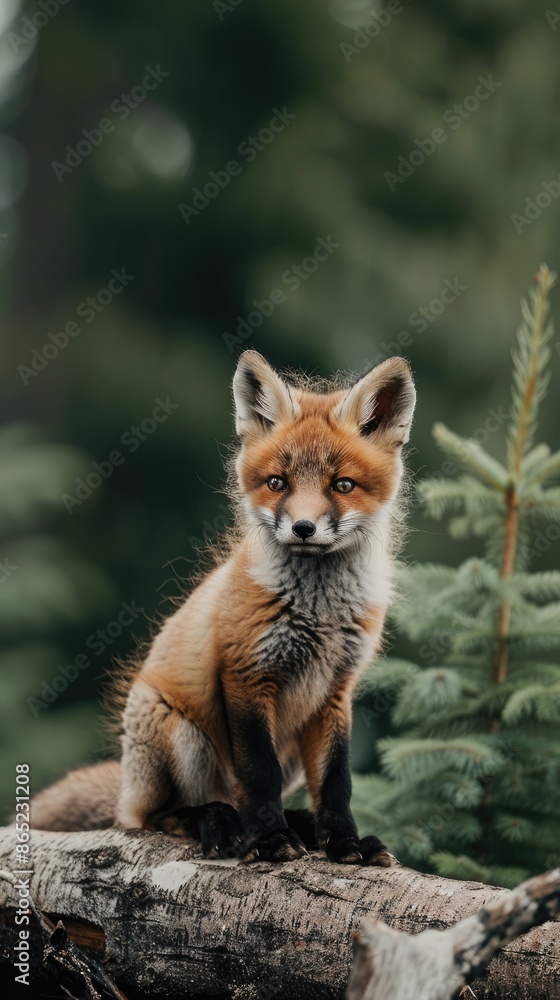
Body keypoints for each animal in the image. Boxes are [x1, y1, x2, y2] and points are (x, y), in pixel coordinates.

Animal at [30, 350, 416, 865]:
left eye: (343, 485)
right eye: (277, 482)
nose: (304, 528)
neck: (318, 614)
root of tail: (128, 789)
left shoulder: (336, 691)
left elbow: (337, 783)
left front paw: (345, 842)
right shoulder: (245, 675)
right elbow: (257, 773)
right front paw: (269, 839)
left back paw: (298, 825)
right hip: (181, 737)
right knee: (162, 816)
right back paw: (218, 822)